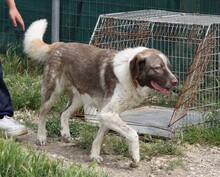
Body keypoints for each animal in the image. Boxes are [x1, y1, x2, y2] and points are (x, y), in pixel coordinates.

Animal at [23, 19, 178, 163]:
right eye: (157, 68)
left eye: (169, 67)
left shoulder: (107, 114)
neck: (129, 76)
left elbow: (99, 138)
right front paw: (135, 155)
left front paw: (94, 156)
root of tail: (59, 44)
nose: (175, 81)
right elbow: (133, 133)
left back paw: (65, 134)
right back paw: (41, 137)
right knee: (42, 113)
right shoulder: (107, 113)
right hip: (52, 93)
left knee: (64, 113)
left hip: (79, 99)